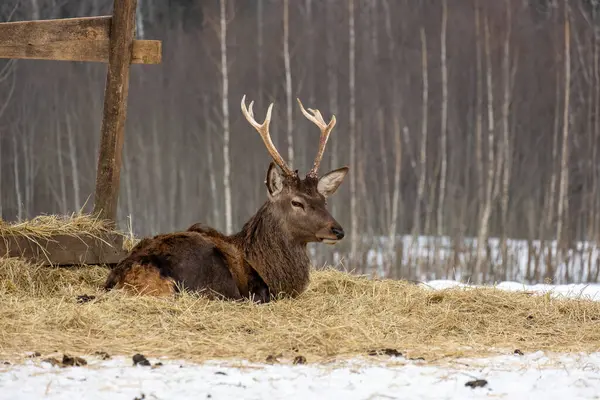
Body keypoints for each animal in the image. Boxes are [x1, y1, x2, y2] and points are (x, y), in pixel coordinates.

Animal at [103, 95, 350, 304]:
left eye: (323, 200)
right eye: (297, 202)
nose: (338, 230)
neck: (272, 272)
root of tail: (124, 278)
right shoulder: (258, 290)